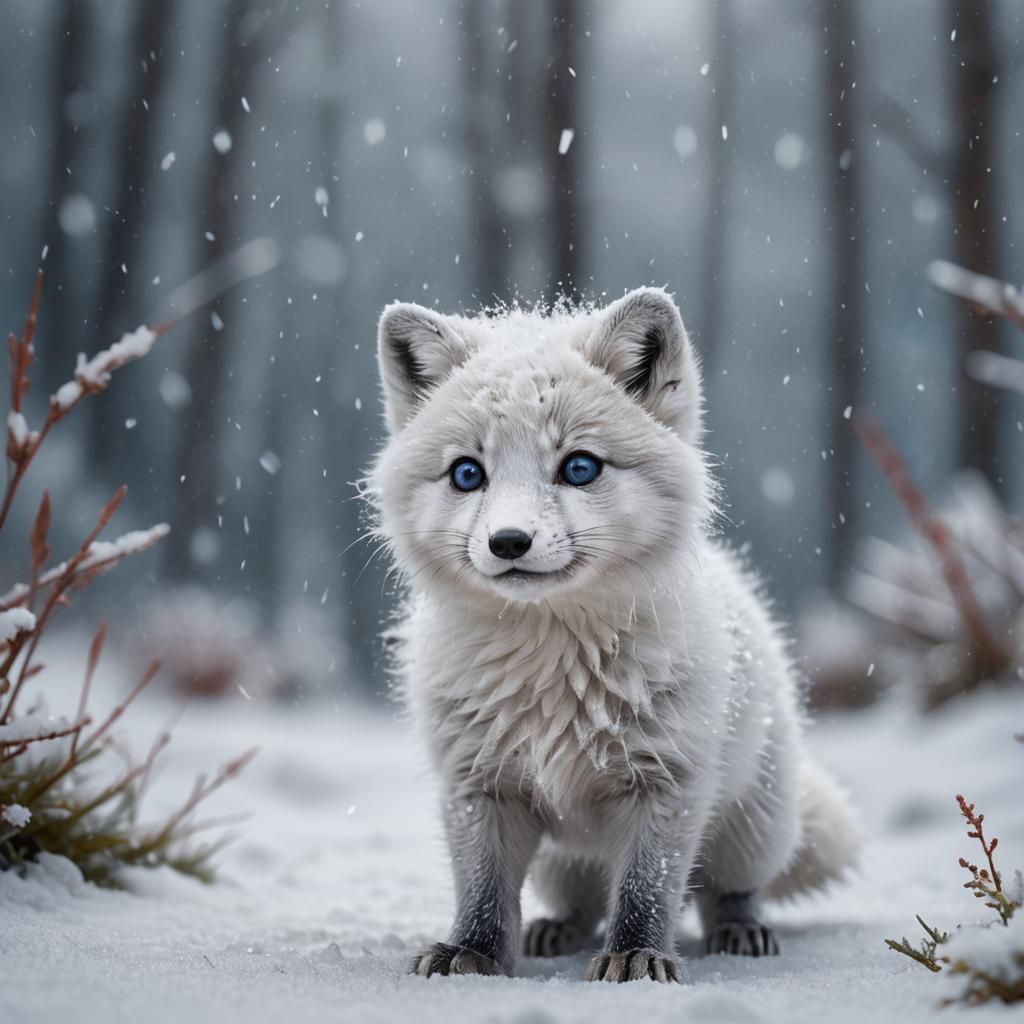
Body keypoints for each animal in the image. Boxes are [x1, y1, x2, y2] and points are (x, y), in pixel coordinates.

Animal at [367, 287, 860, 983]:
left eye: (579, 467)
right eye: (467, 474)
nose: (508, 542)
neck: (552, 674)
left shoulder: (666, 784)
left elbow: (646, 891)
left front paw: (637, 957)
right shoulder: (478, 784)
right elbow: (484, 892)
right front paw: (472, 953)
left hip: (751, 827)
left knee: (722, 889)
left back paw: (739, 929)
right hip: (561, 857)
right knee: (582, 898)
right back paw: (556, 930)